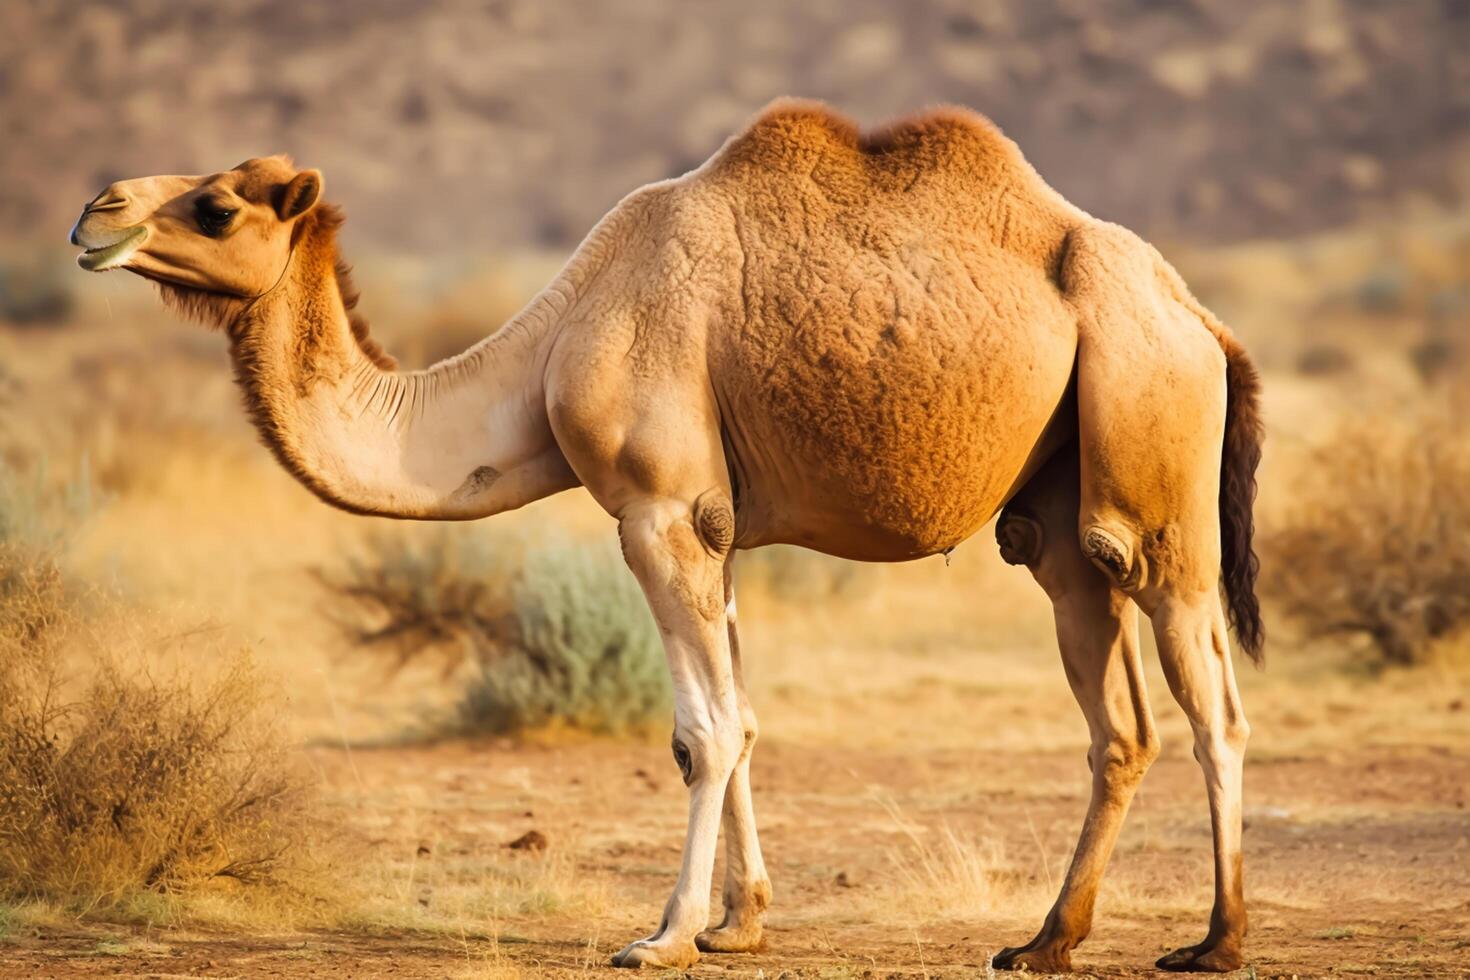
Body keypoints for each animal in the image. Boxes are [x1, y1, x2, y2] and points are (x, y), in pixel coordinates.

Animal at [71, 99, 1264, 975]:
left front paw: (664, 933)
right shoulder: (715, 525)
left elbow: (703, 730)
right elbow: (744, 714)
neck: (551, 351)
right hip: (1062, 521)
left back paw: (1215, 939)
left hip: (1154, 457)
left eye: (217, 206)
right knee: (1119, 715)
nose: (93, 210)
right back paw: (1044, 941)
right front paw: (742, 921)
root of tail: (1206, 320)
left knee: (1212, 699)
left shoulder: (656, 509)